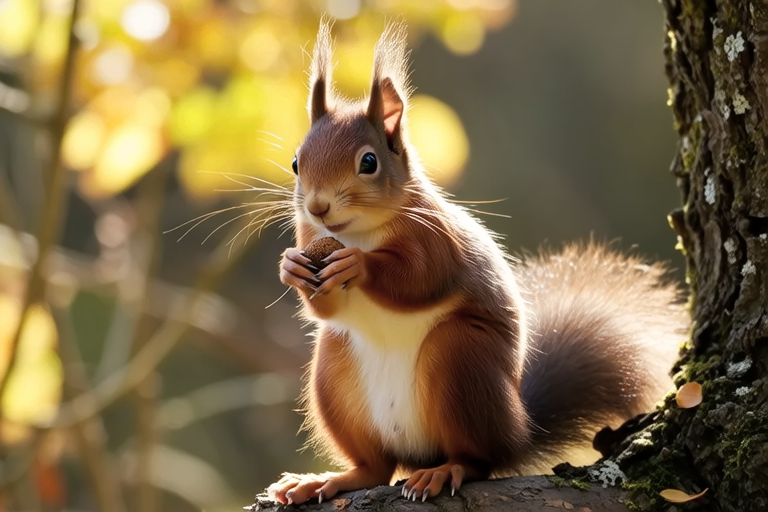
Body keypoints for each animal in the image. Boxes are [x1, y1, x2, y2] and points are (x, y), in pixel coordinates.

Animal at [269, 20, 687, 505]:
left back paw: (444, 471)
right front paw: (290, 268)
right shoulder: (311, 237)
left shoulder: (438, 241)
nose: (317, 207)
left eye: (368, 162)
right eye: (296, 163)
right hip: (335, 373)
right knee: (376, 467)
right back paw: (328, 480)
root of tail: (518, 430)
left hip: (460, 359)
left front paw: (358, 266)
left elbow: (420, 281)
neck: (357, 232)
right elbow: (323, 307)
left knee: (479, 460)